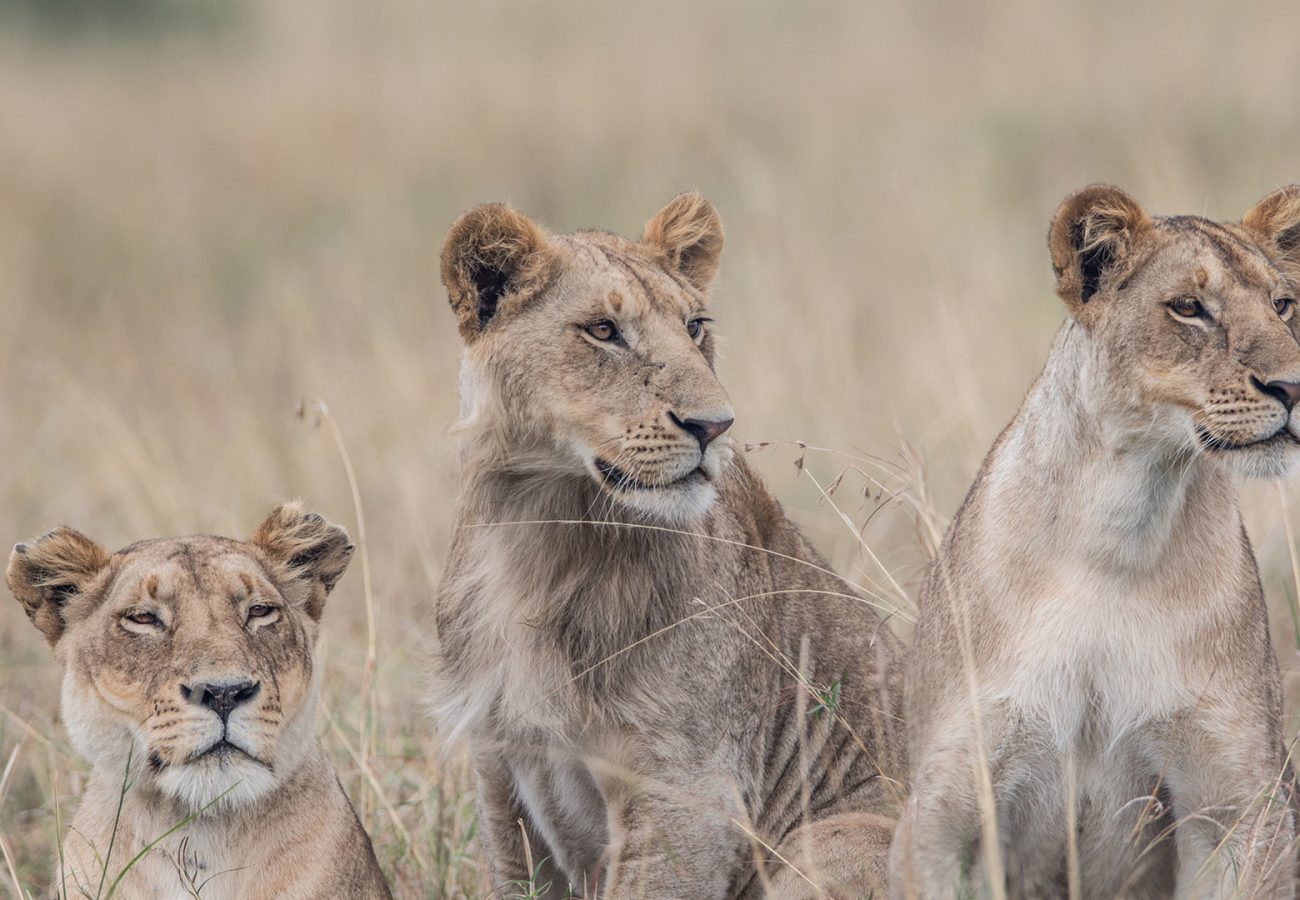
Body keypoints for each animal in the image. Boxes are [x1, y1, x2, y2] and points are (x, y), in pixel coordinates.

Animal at [431, 193, 909, 894]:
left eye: (695, 326)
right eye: (603, 330)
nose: (715, 426)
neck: (536, 536)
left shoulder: (688, 790)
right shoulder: (499, 774)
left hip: (841, 838)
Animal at [889, 184, 1300, 900]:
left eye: (1282, 305)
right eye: (1189, 308)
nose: (1297, 387)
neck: (1122, 525)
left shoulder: (1236, 806)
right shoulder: (944, 807)